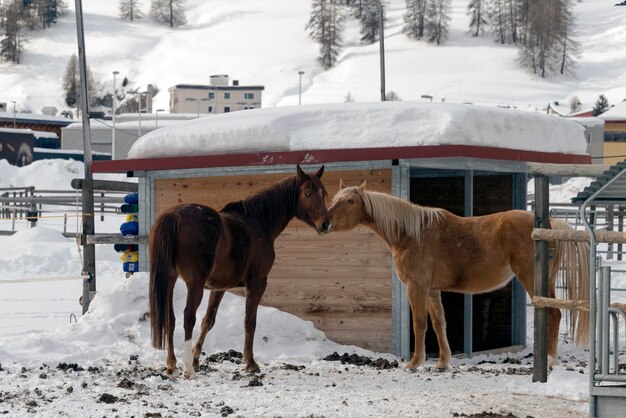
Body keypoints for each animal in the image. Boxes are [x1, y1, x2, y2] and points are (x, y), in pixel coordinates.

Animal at [149, 165, 330, 378]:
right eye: (307, 193)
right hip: (195, 284)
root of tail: (174, 216)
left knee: (170, 318)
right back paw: (187, 370)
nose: (325, 224)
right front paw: (250, 363)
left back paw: (172, 365)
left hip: (170, 279)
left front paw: (196, 359)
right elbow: (249, 321)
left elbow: (208, 321)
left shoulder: (219, 287)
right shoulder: (257, 283)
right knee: (188, 317)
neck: (257, 222)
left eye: (323, 192)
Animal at [324, 181, 588, 370]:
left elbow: (419, 323)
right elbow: (439, 323)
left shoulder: (417, 287)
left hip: (531, 279)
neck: (412, 234)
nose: (326, 222)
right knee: (556, 314)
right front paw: (442, 362)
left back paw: (550, 360)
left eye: (350, 201)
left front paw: (414, 363)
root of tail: (549, 224)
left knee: (552, 313)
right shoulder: (432, 290)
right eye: (335, 199)